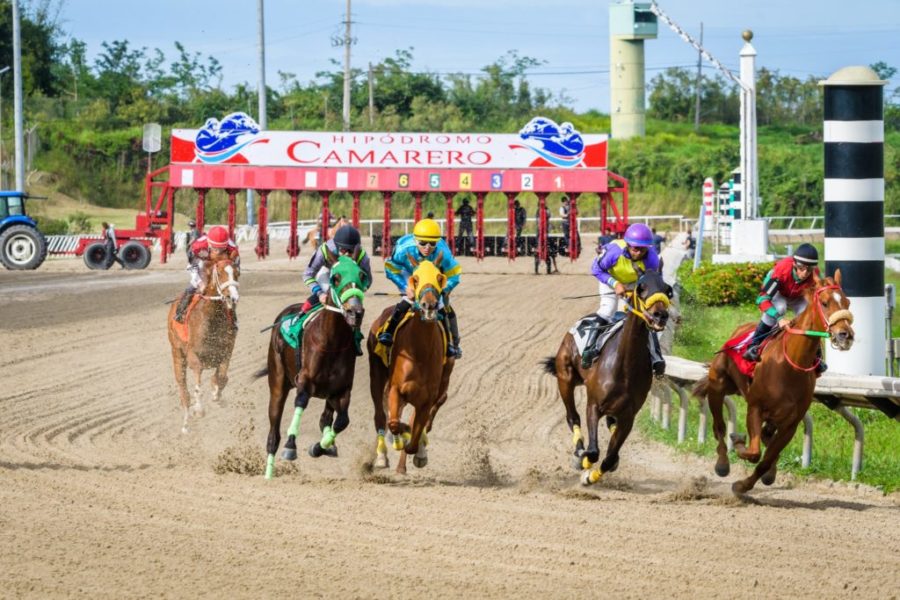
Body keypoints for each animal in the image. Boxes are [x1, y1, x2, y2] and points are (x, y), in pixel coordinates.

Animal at [166, 256, 239, 432]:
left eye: (237, 273)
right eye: (220, 273)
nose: (233, 297)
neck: (211, 319)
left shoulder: (226, 352)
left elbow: (221, 377)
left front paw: (216, 394)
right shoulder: (193, 356)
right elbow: (198, 384)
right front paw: (199, 409)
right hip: (177, 353)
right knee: (184, 391)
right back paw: (186, 423)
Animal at [256, 255, 366, 480]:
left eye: (361, 275)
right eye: (335, 277)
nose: (355, 312)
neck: (332, 342)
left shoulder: (341, 390)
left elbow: (342, 421)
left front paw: (319, 447)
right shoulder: (304, 381)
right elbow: (301, 402)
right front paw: (291, 446)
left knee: (325, 419)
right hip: (278, 382)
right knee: (273, 434)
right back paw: (268, 473)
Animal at [366, 255, 454, 476]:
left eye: (439, 277)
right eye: (415, 278)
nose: (429, 305)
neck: (420, 352)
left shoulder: (428, 398)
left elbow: (415, 435)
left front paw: (418, 451)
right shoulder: (396, 389)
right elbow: (395, 423)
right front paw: (398, 440)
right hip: (377, 376)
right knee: (381, 416)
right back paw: (382, 456)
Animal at [540, 270, 668, 486]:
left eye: (667, 289)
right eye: (641, 288)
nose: (661, 315)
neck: (625, 366)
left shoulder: (628, 416)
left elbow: (609, 458)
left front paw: (592, 476)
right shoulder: (593, 405)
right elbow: (593, 452)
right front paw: (584, 466)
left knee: (609, 426)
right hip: (565, 379)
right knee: (572, 417)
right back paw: (578, 453)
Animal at [692, 270, 856, 494]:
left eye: (847, 302)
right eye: (824, 302)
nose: (845, 335)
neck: (790, 366)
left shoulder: (790, 423)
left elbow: (766, 459)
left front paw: (745, 484)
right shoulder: (755, 408)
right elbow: (753, 452)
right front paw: (738, 442)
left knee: (765, 437)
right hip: (717, 386)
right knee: (720, 427)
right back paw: (723, 464)